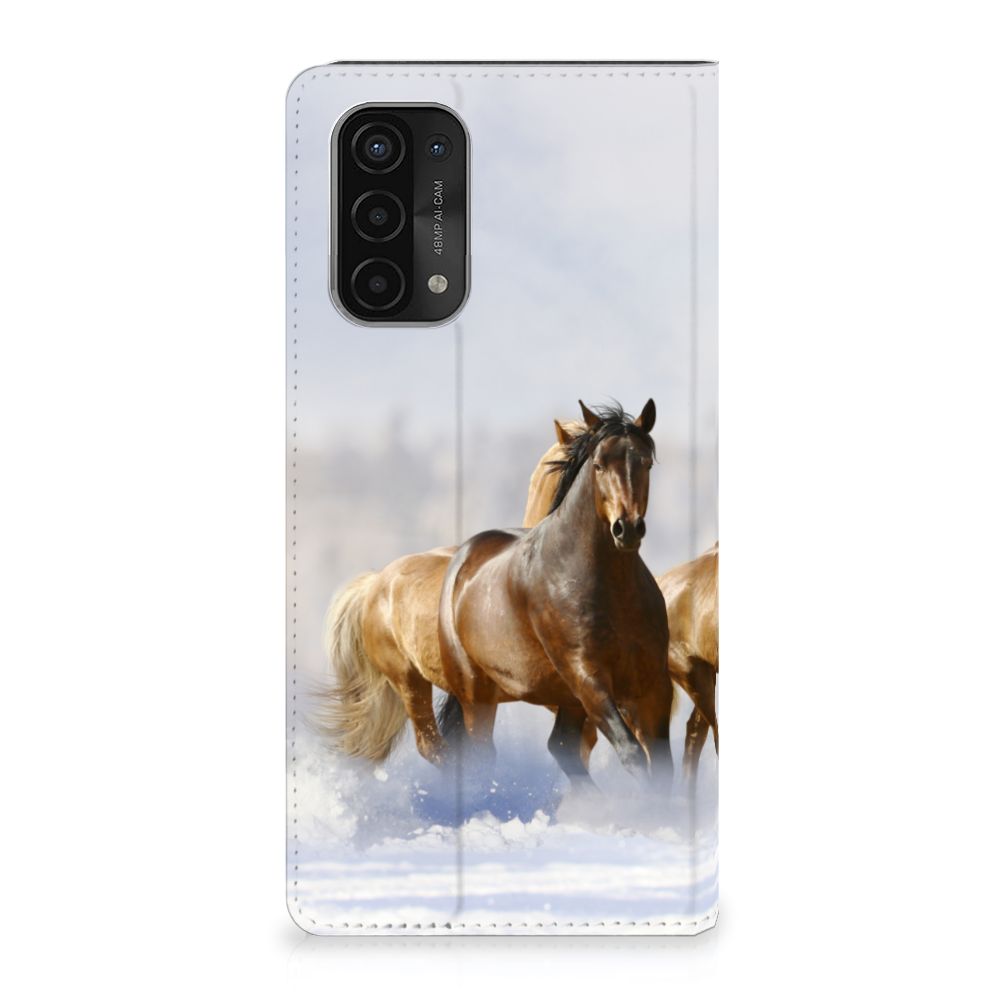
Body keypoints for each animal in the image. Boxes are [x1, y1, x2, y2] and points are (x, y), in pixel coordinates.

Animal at [437, 400, 673, 787]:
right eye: (598, 465)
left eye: (646, 463)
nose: (627, 528)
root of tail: (463, 558)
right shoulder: (588, 678)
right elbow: (632, 754)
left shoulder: (653, 684)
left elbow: (663, 766)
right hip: (477, 695)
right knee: (483, 754)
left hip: (566, 700)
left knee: (561, 746)